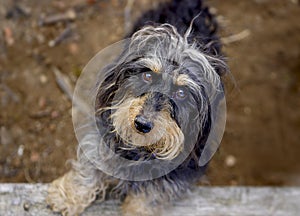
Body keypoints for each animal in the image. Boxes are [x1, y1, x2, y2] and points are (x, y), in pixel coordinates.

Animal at [47, 0, 226, 215]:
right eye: (147, 76)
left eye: (181, 93)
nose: (142, 124)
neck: (140, 149)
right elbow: (89, 169)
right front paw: (67, 196)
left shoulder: (173, 177)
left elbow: (149, 197)